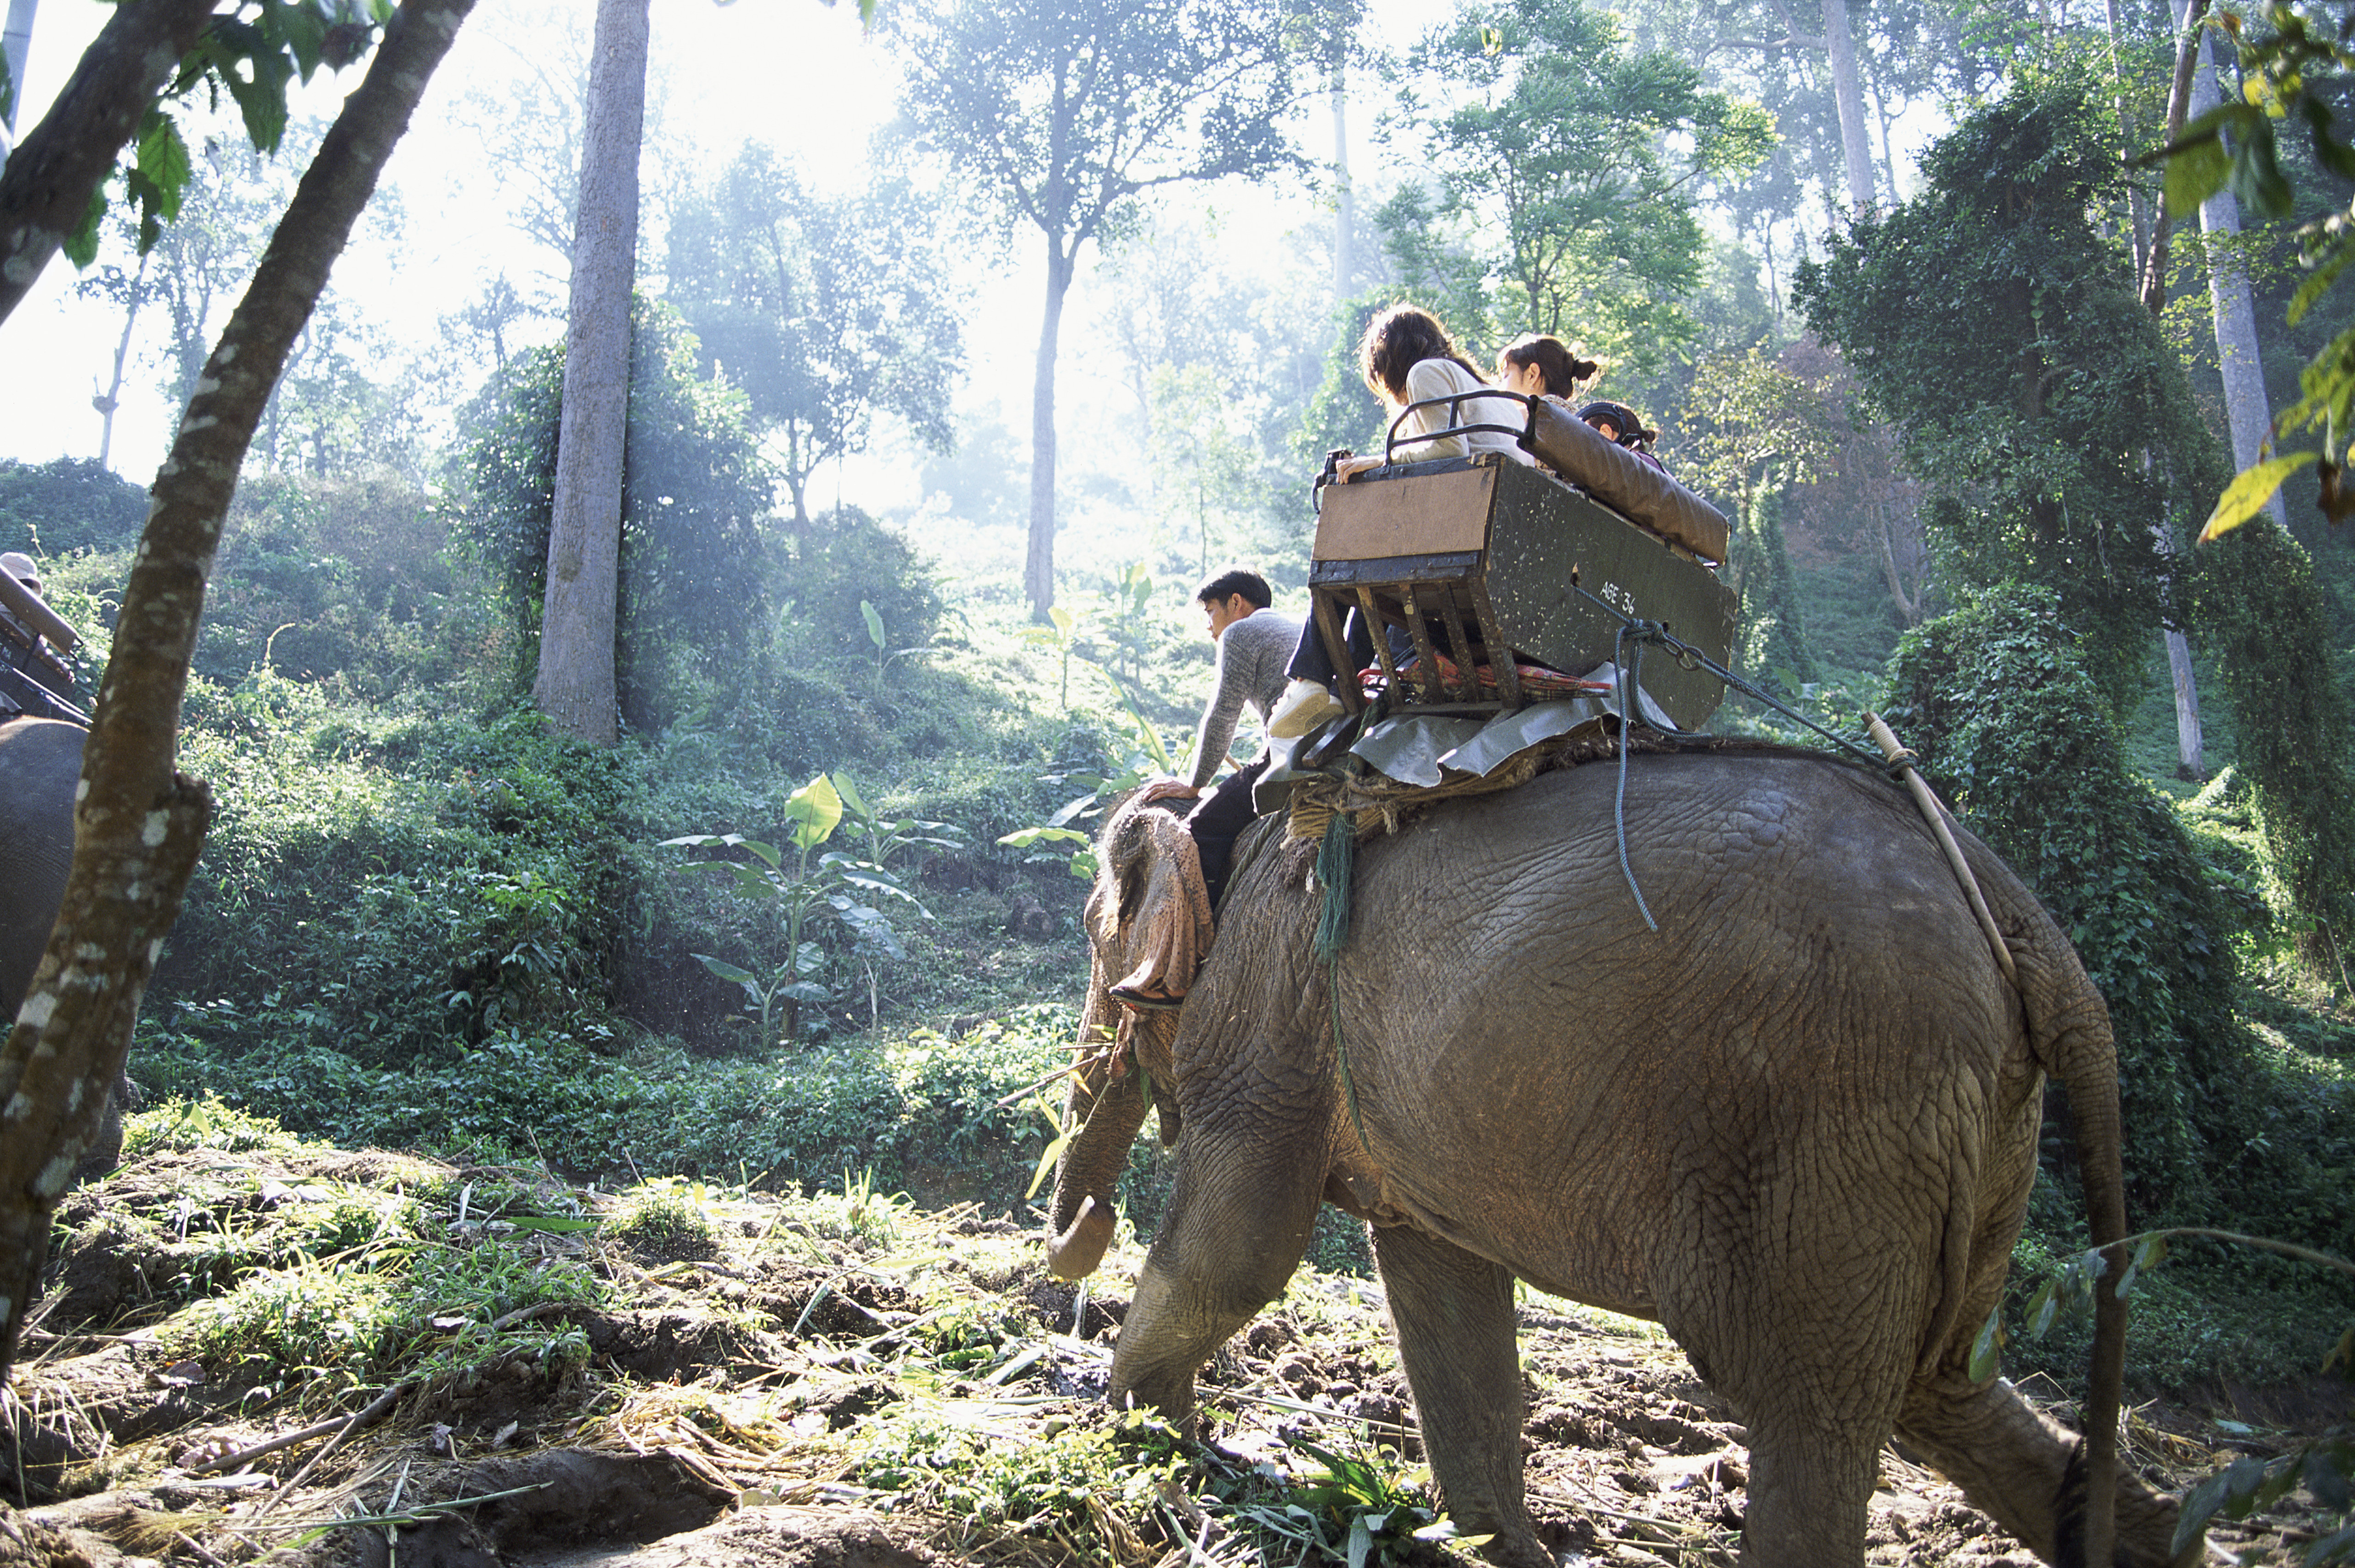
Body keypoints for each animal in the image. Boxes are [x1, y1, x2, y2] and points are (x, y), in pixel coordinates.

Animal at [1045, 742, 2191, 1568]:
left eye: (1097, 946)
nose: (1077, 1238)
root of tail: (2024, 922)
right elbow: (1440, 1289)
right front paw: (1490, 1550)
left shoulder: (1269, 1008)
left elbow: (1242, 1244)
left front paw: (1133, 1431)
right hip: (1969, 1133)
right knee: (1944, 1391)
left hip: (1830, 1121)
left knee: (1811, 1410)